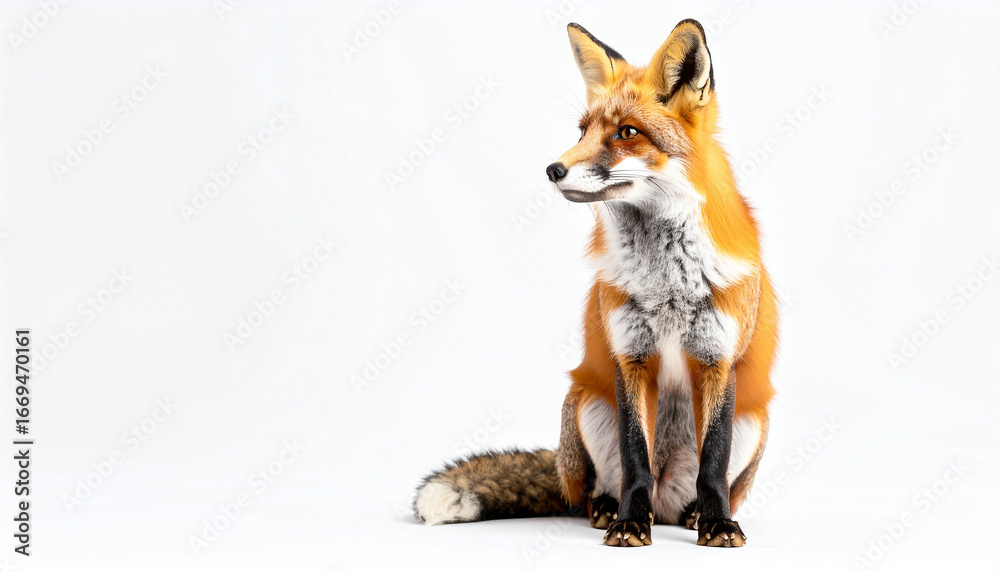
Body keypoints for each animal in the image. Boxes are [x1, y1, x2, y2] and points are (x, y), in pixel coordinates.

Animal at [413, 19, 778, 548]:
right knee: (592, 491)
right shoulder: (630, 356)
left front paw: (717, 524)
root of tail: (666, 501)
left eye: (627, 133)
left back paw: (692, 514)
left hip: (754, 418)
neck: (667, 284)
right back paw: (611, 509)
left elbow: (714, 461)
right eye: (582, 131)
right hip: (584, 403)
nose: (553, 169)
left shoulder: (717, 358)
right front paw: (629, 523)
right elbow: (634, 457)